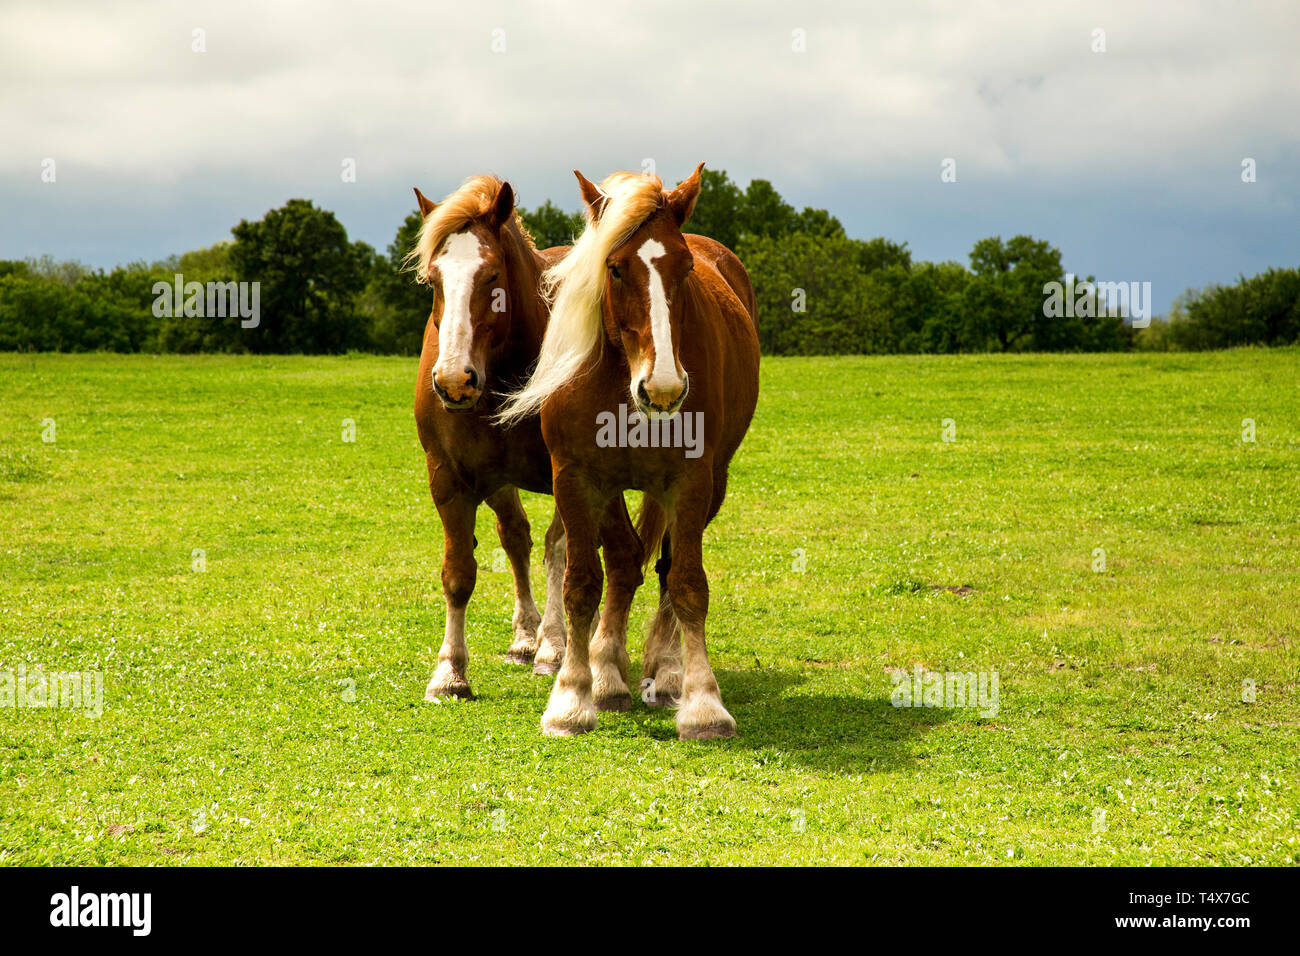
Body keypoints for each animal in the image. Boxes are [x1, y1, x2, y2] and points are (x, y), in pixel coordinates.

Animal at [496, 164, 759, 738]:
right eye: (614, 269)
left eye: (685, 268)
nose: (662, 389)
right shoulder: (576, 477)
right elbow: (582, 583)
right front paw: (573, 696)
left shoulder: (691, 480)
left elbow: (686, 583)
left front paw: (703, 703)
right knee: (622, 562)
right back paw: (607, 670)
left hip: (709, 485)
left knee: (660, 570)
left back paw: (664, 670)